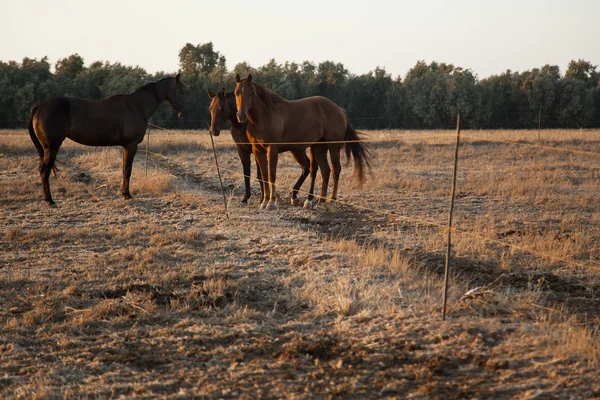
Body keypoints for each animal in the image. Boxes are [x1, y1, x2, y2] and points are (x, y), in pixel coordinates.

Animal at [28, 73, 186, 205]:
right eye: (180, 90)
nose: (182, 112)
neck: (137, 106)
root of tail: (40, 106)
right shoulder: (131, 145)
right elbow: (127, 170)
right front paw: (127, 195)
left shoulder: (125, 146)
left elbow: (124, 169)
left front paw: (124, 193)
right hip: (52, 147)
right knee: (44, 170)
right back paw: (49, 200)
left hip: (47, 148)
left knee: (42, 169)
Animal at [234, 72, 370, 209]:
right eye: (236, 93)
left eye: (250, 93)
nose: (241, 116)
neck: (264, 116)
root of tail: (339, 109)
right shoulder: (258, 150)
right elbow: (264, 174)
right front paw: (264, 202)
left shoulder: (272, 149)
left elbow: (272, 174)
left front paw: (272, 202)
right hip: (319, 147)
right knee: (325, 170)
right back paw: (320, 202)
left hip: (333, 147)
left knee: (335, 170)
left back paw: (331, 201)